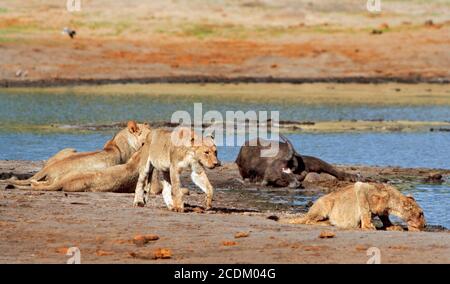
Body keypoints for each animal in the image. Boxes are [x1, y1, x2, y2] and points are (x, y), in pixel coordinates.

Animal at [282, 182, 426, 231]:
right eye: (421, 213)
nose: (424, 225)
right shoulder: (362, 188)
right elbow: (365, 209)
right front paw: (367, 226)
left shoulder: (382, 209)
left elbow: (384, 217)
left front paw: (392, 226)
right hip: (325, 203)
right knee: (309, 221)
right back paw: (329, 223)